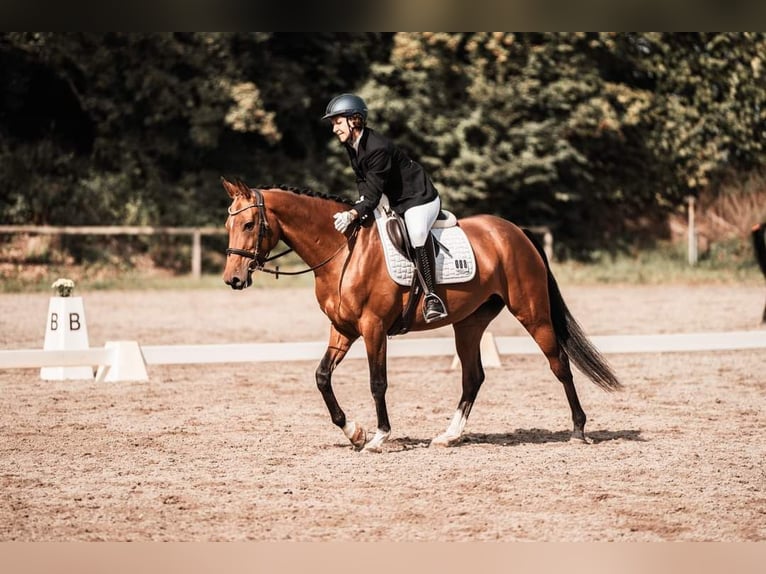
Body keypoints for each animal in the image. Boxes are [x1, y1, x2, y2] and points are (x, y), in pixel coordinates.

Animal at [222, 180, 624, 454]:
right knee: (473, 376)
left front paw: (379, 437)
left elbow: (377, 382)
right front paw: (354, 431)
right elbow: (322, 377)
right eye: (229, 226)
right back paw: (449, 435)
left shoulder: (372, 328)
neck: (341, 253)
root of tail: (515, 231)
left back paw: (578, 430)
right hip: (470, 322)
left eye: (248, 225)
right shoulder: (343, 329)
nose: (233, 279)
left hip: (533, 312)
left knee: (559, 364)